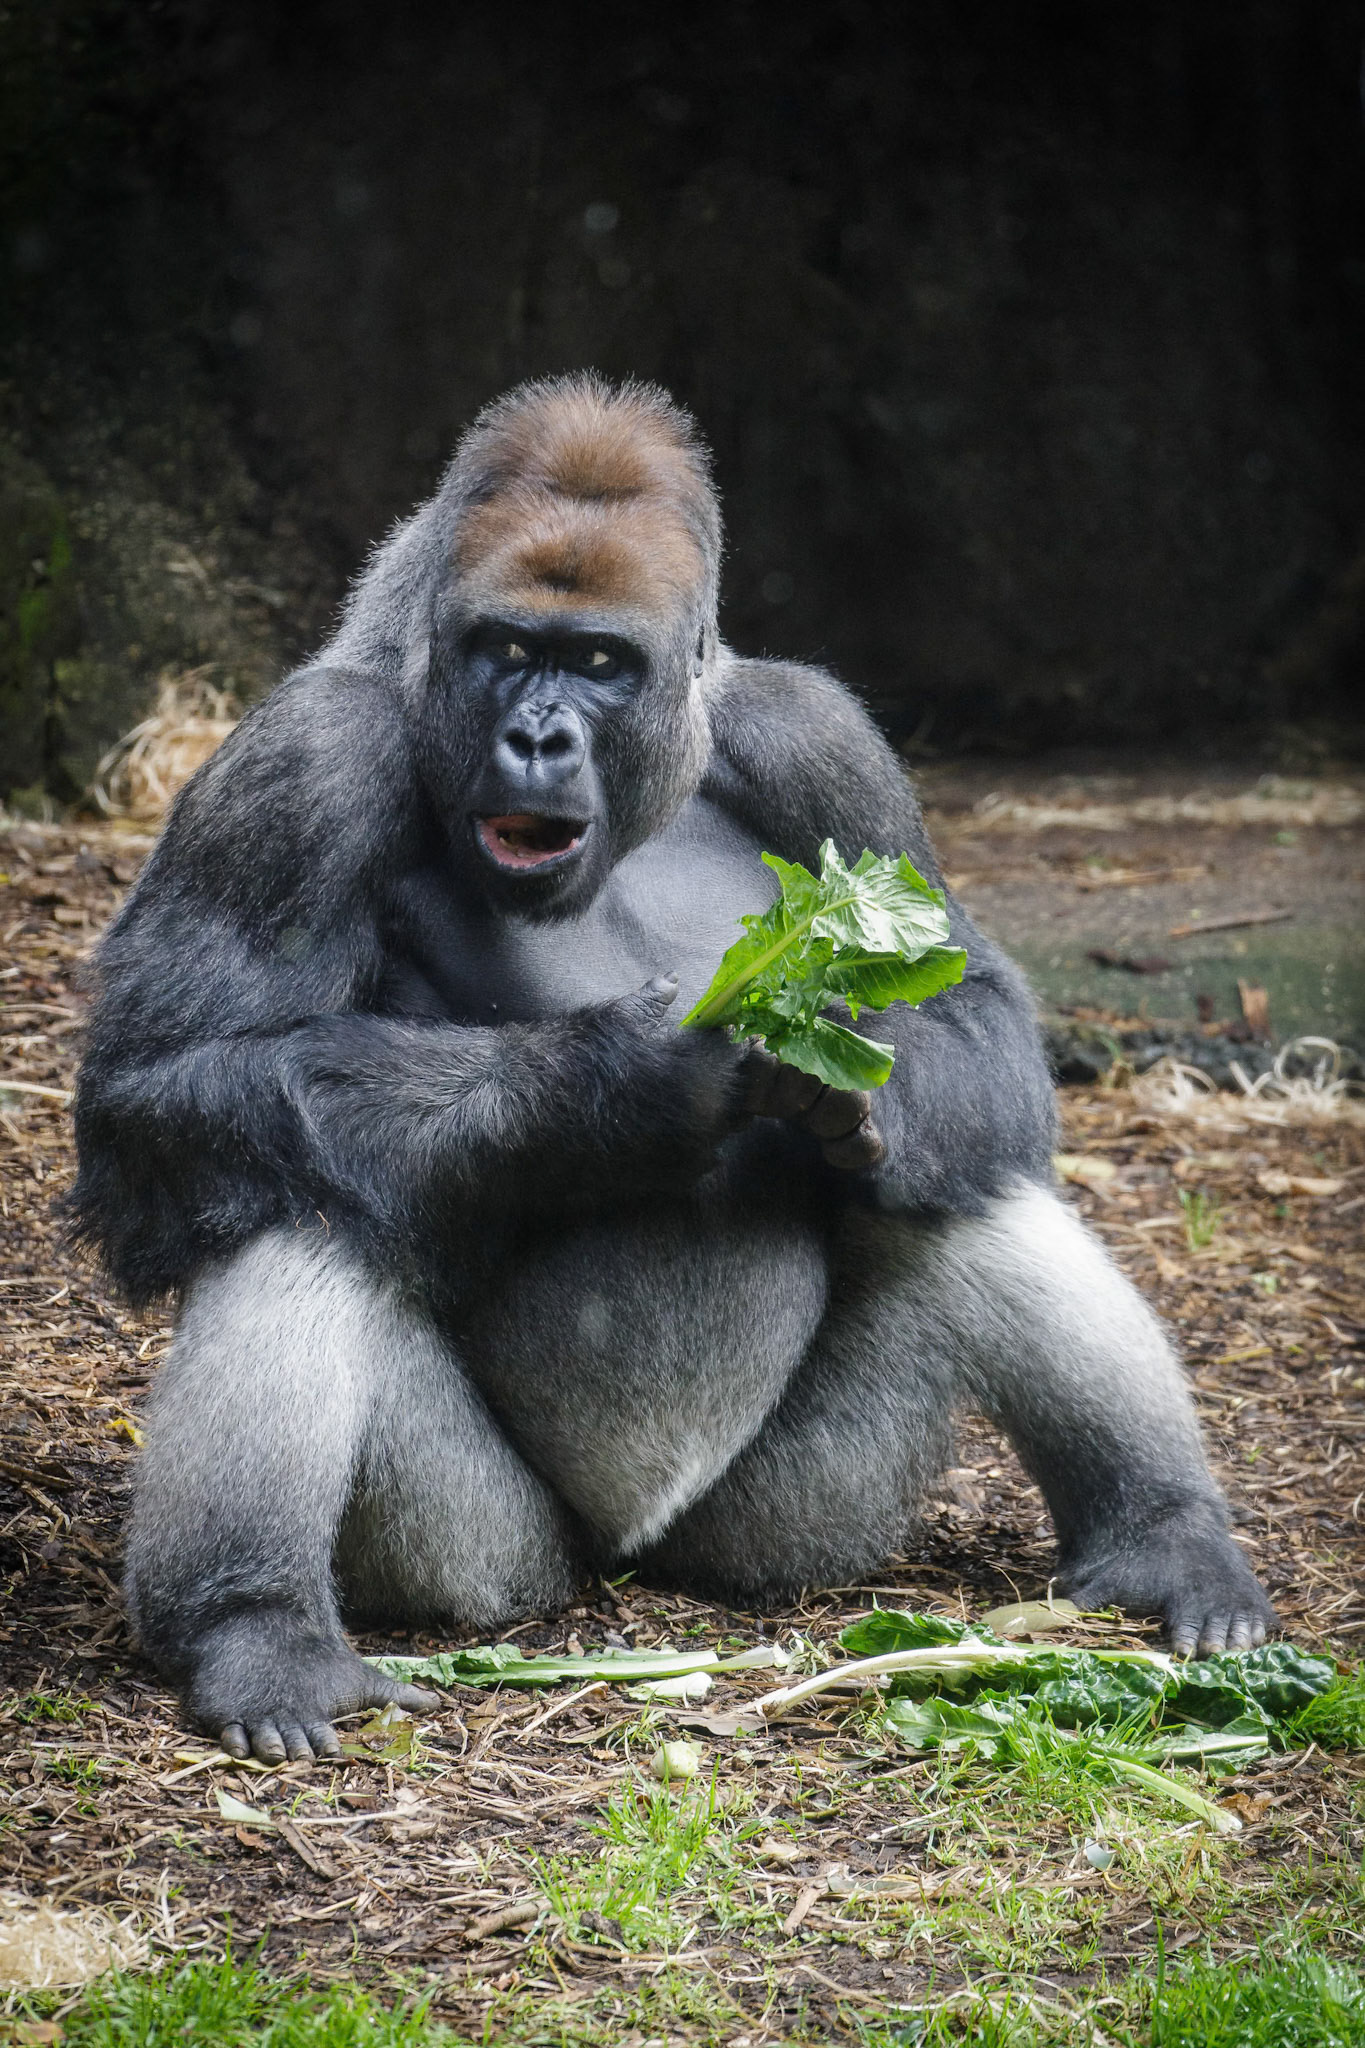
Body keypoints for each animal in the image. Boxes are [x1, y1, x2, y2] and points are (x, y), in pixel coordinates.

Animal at [70, 374, 1274, 1764]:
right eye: (507, 648)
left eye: (600, 661)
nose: (536, 736)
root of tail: (631, 1563)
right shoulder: (301, 763)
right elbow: (161, 1085)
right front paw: (620, 1082)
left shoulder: (821, 734)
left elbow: (969, 1010)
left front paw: (860, 1082)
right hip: (491, 1559)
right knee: (296, 1188)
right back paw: (254, 1625)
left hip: (797, 1526)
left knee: (964, 1185)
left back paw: (1164, 1533)